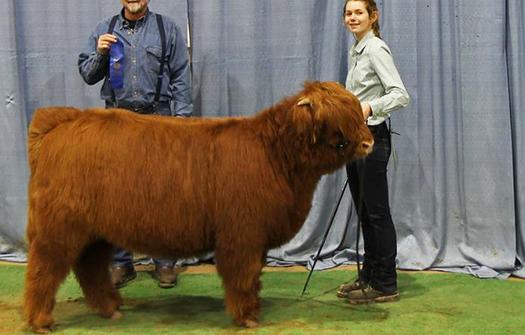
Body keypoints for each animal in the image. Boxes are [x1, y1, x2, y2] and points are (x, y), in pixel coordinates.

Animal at [23, 81, 372, 334]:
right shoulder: (241, 234)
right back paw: (41, 321)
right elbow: (243, 274)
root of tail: (60, 121)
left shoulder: (256, 236)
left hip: (94, 232)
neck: (274, 154)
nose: (369, 143)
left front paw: (254, 307)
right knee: (44, 269)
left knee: (90, 267)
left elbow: (254, 275)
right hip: (58, 228)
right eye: (336, 121)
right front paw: (247, 316)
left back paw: (111, 308)